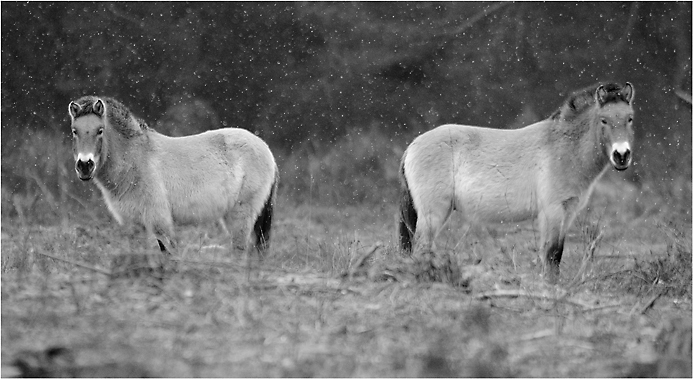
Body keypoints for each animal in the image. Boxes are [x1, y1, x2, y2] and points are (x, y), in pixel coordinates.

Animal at [67, 95, 278, 258]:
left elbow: (169, 255)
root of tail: (267, 150)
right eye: (74, 131)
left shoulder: (159, 221)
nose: (84, 166)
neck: (135, 161)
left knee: (240, 251)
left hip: (242, 214)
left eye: (100, 131)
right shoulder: (134, 225)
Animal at [398, 84, 636, 284]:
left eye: (630, 118)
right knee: (421, 248)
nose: (622, 155)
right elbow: (551, 254)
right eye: (604, 120)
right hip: (432, 213)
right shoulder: (552, 211)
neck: (564, 148)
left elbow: (555, 253)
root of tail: (411, 146)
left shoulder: (568, 212)